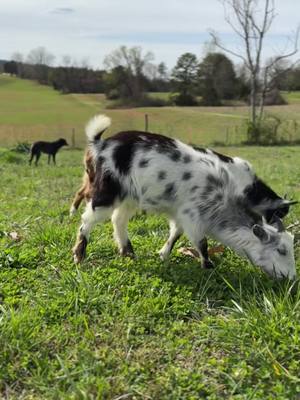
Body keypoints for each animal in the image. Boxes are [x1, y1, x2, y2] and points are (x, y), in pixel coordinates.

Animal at [72, 114, 298, 280]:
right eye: (281, 250)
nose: (292, 278)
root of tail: (100, 144)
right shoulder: (192, 216)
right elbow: (202, 243)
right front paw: (209, 267)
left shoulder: (180, 214)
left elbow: (175, 234)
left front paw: (163, 255)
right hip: (106, 193)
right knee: (88, 219)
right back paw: (79, 256)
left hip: (130, 197)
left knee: (118, 220)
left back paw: (128, 252)